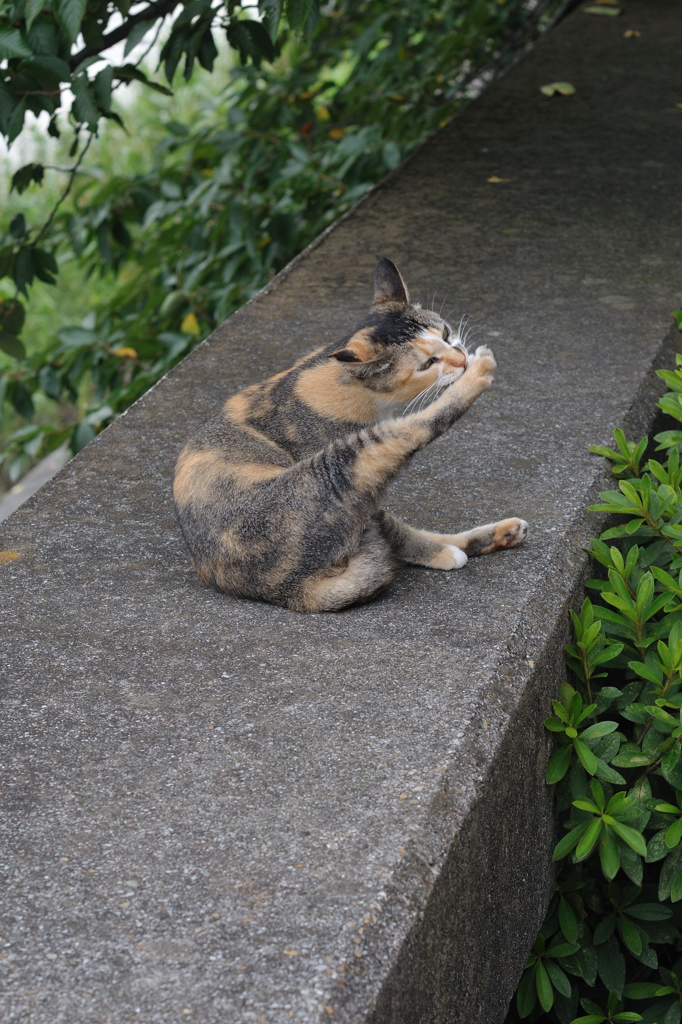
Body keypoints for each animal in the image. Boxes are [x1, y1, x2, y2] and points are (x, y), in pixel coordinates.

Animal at [171, 256, 524, 610]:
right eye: (427, 364)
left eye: (447, 333)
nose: (462, 359)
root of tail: (287, 591)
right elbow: (396, 531)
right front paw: (442, 554)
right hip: (337, 466)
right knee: (417, 430)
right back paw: (478, 373)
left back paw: (502, 532)